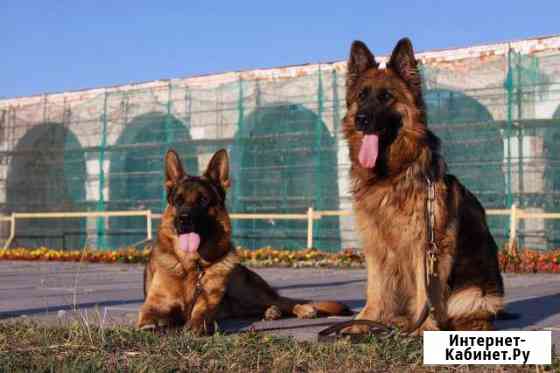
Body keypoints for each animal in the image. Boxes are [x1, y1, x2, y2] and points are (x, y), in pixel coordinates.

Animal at [138, 148, 350, 334]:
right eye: (178, 200)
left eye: (203, 200)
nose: (184, 219)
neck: (192, 266)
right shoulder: (154, 304)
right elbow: (149, 316)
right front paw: (152, 325)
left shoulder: (208, 302)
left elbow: (201, 313)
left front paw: (195, 325)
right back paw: (272, 313)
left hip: (247, 292)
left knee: (283, 301)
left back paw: (302, 309)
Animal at [344, 38, 506, 332]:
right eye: (362, 95)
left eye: (386, 96)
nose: (361, 119)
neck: (390, 175)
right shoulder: (375, 244)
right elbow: (375, 289)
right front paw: (365, 320)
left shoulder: (425, 246)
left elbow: (424, 292)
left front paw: (424, 328)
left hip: (474, 293)